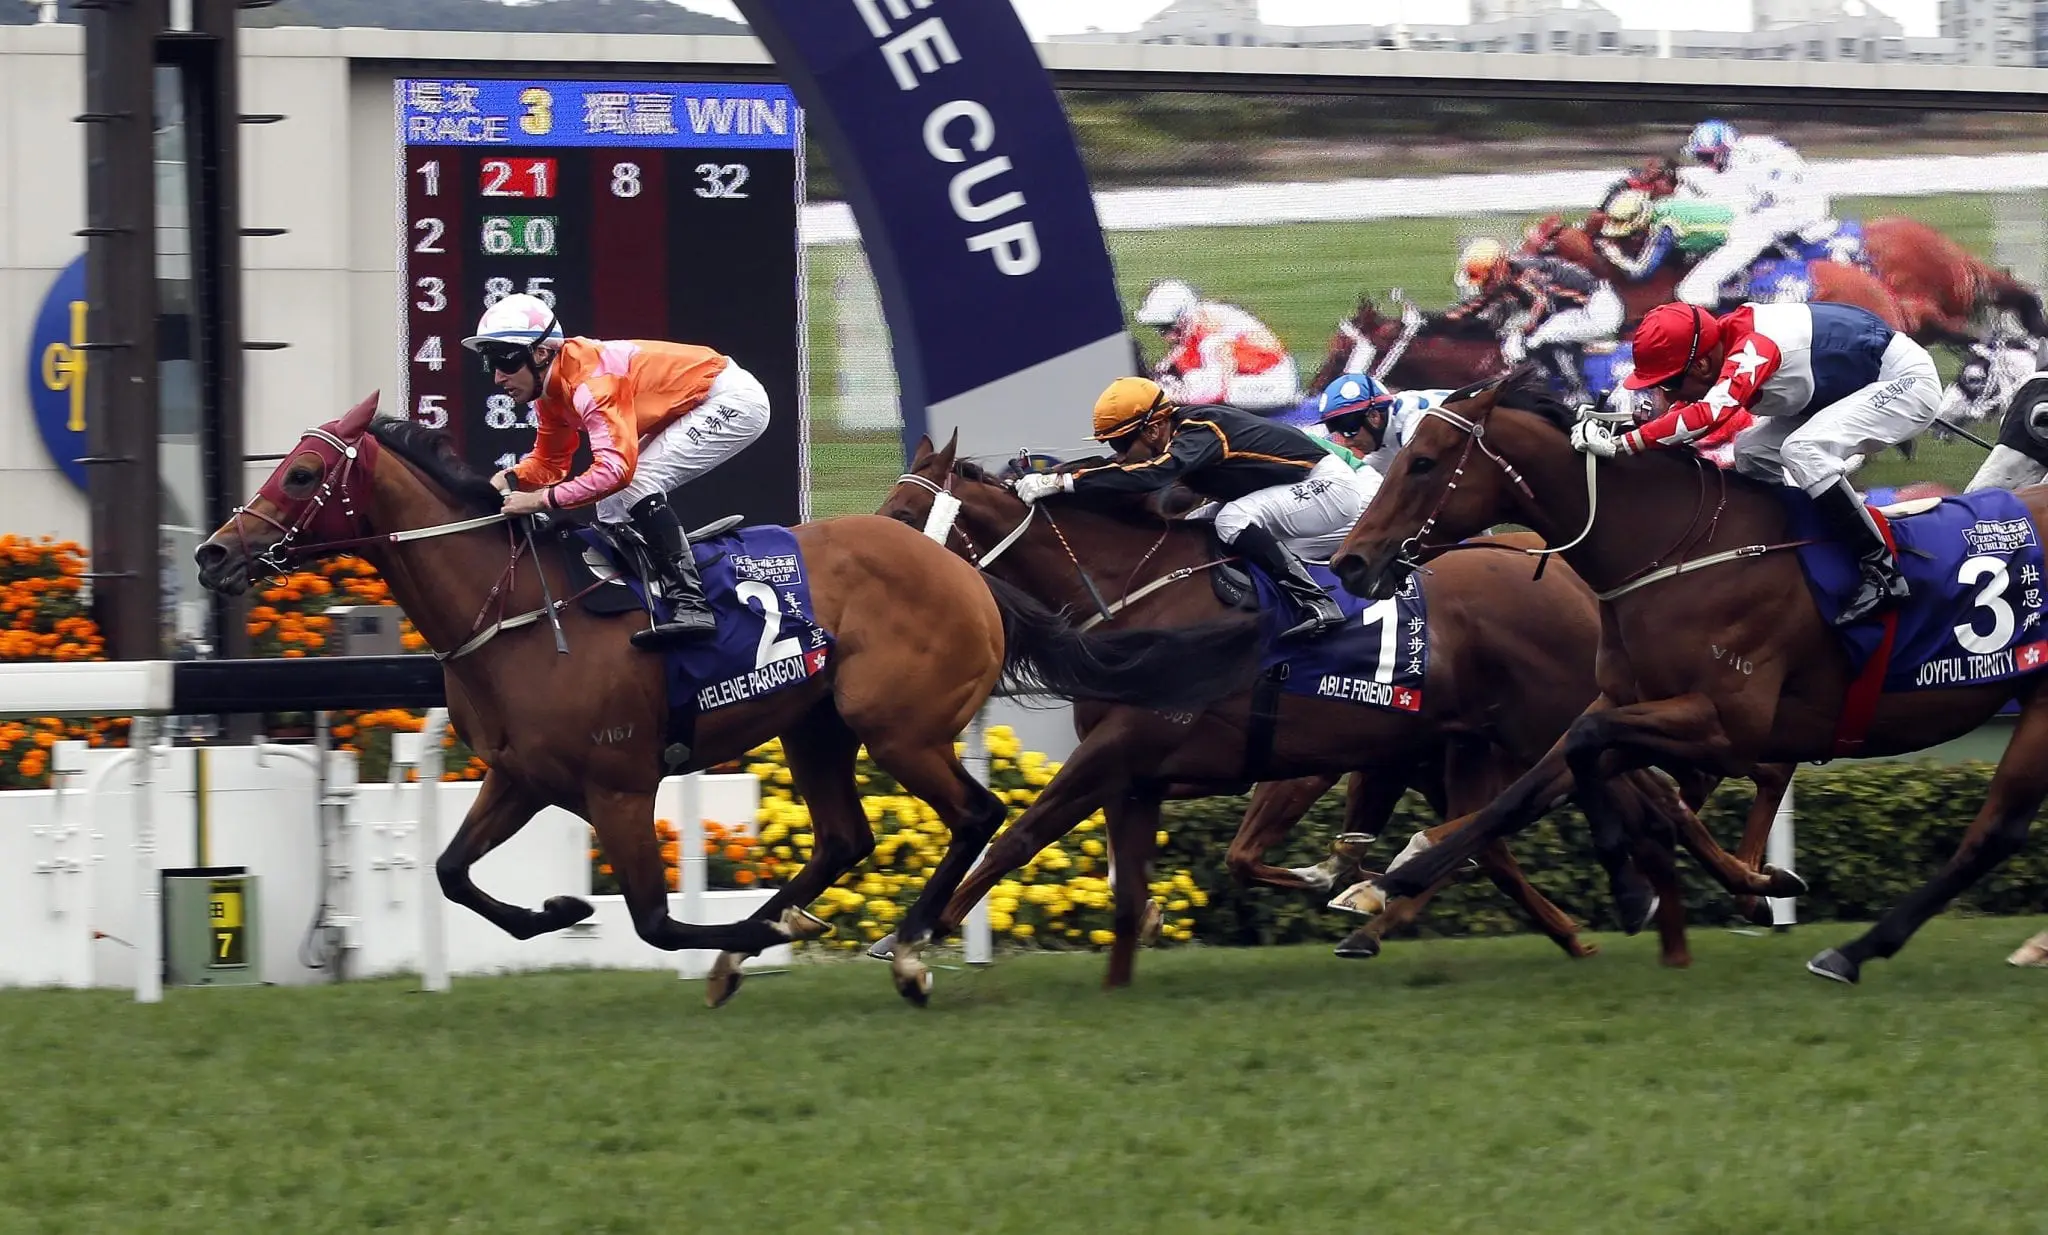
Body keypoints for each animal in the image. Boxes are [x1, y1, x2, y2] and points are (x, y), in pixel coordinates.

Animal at [199, 395, 1269, 1003]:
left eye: (301, 472)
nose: (213, 553)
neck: (517, 608)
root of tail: (964, 570)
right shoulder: (519, 775)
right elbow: (454, 873)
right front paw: (557, 909)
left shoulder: (618, 783)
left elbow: (652, 918)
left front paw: (752, 931)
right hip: (817, 728)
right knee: (846, 837)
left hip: (897, 726)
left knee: (978, 814)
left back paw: (906, 947)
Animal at [872, 434, 1802, 995]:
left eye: (907, 514)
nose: (863, 558)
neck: (1139, 594)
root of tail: (1557, 568)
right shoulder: (1136, 769)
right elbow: (1131, 889)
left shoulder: (1130, 748)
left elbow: (1021, 834)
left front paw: (916, 938)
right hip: (1477, 739)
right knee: (1518, 828)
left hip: (1541, 719)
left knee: (1648, 798)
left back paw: (1733, 891)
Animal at [1327, 366, 2048, 987]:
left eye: (1423, 462)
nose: (1350, 561)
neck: (1684, 551)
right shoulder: (1626, 702)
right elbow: (1528, 792)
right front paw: (1389, 881)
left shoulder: (1724, 724)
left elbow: (1591, 750)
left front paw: (1634, 886)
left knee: (1994, 831)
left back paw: (1851, 950)